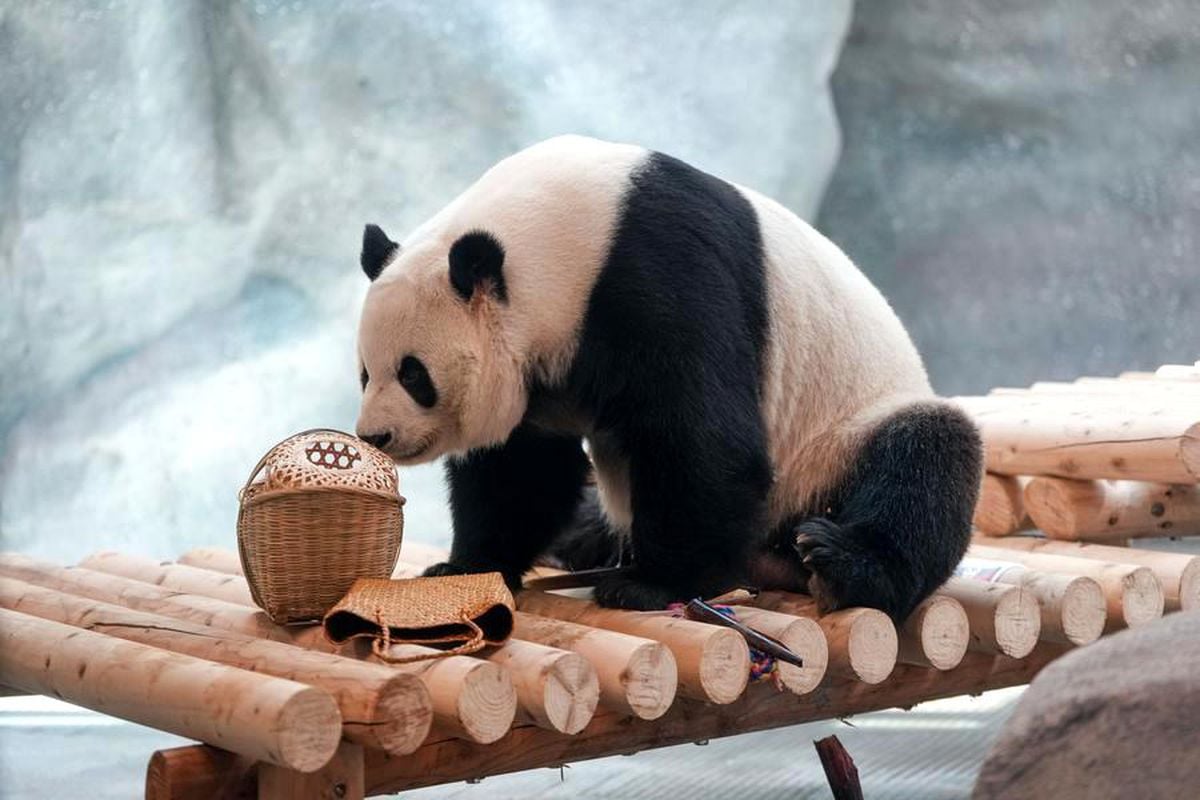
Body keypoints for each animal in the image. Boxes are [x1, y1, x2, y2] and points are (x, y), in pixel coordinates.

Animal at [354, 135, 982, 621]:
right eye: (365, 372)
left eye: (413, 374)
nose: (375, 436)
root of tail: (770, 555)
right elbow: (521, 468)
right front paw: (462, 566)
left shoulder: (661, 274)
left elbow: (701, 438)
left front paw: (651, 583)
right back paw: (585, 543)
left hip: (837, 441)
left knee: (926, 457)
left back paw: (838, 561)